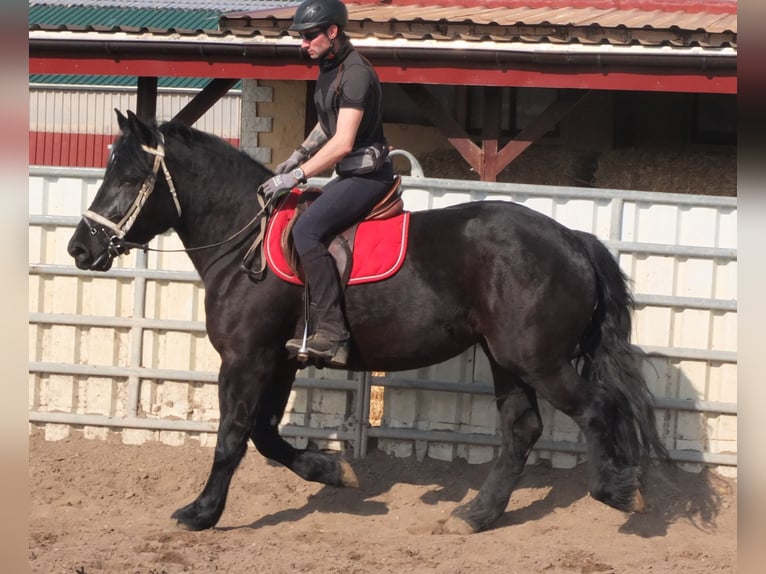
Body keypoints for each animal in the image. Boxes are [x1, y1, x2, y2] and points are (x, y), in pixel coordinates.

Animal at [69, 111, 668, 536]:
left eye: (129, 176)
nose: (80, 249)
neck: (245, 243)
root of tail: (573, 239)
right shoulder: (281, 358)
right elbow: (265, 434)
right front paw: (334, 472)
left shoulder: (246, 359)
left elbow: (233, 436)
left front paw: (201, 512)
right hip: (508, 358)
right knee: (522, 428)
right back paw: (477, 515)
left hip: (537, 359)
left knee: (596, 408)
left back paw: (618, 492)